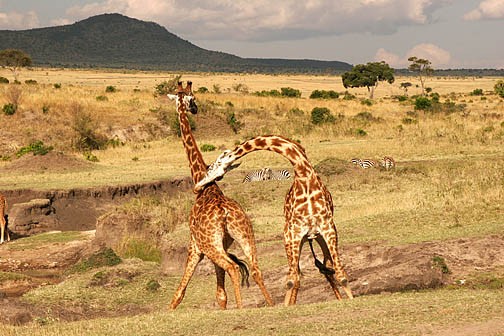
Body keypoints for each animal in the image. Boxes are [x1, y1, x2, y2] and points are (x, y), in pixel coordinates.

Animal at [167, 81, 274, 310]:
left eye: (193, 98)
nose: (195, 109)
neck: (208, 187)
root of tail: (224, 213)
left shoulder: (195, 246)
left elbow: (179, 293)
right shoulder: (223, 243)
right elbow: (221, 294)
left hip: (210, 245)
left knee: (233, 267)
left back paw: (241, 309)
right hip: (244, 235)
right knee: (255, 270)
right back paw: (271, 304)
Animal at [194, 135, 354, 306]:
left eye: (215, 165)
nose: (198, 186)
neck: (304, 176)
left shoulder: (328, 228)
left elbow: (342, 276)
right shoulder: (293, 233)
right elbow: (291, 280)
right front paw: (287, 306)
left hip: (316, 237)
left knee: (324, 265)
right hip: (298, 239)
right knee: (299, 273)